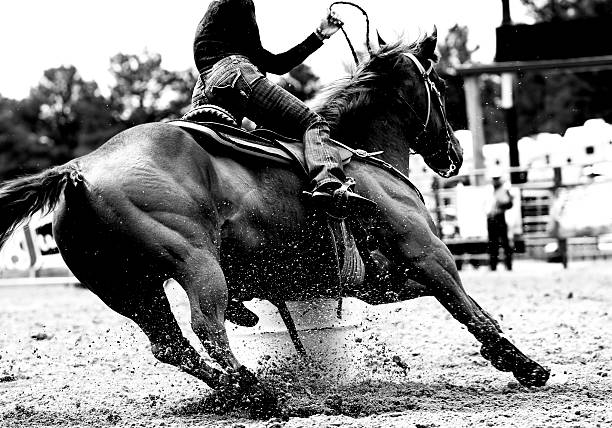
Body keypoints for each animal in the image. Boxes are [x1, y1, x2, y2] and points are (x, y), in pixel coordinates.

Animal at [0, 30, 548, 418]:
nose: (454, 154)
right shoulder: (428, 254)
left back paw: (235, 392)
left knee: (171, 345)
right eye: (438, 86)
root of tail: (79, 172)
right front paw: (525, 366)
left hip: (130, 290)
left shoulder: (377, 281)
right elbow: (468, 308)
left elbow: (461, 306)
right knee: (207, 327)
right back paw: (259, 395)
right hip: (196, 264)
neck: (358, 157)